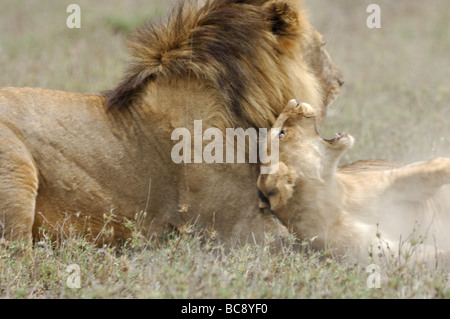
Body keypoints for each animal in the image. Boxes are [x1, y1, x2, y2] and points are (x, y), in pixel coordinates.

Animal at [256, 100, 450, 264]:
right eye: (281, 133)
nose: (294, 101)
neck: (332, 198)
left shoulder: (390, 181)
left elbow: (433, 167)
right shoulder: (377, 249)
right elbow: (427, 255)